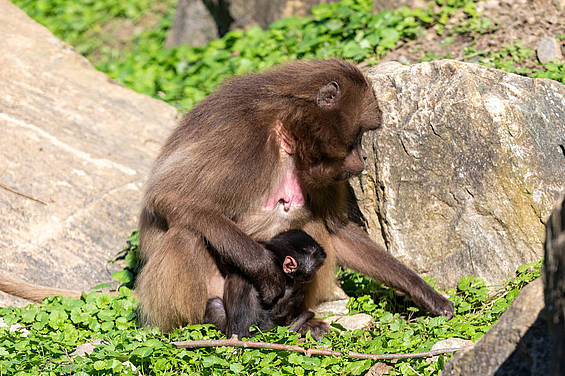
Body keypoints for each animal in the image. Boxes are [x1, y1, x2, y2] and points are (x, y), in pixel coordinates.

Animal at [133, 57, 454, 330]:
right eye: (359, 135)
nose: (363, 157)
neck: (287, 127)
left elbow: (335, 229)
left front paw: (423, 292)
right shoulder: (241, 136)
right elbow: (171, 196)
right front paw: (265, 269)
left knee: (310, 222)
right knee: (186, 234)